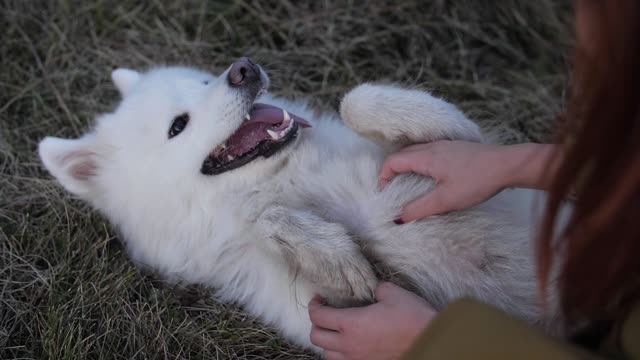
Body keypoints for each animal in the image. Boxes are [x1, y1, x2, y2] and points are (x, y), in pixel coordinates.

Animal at [37, 57, 564, 350]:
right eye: (178, 126)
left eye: (204, 82)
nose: (243, 69)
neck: (290, 177)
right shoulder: (322, 310)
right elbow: (268, 221)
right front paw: (337, 255)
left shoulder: (466, 150)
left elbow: (359, 100)